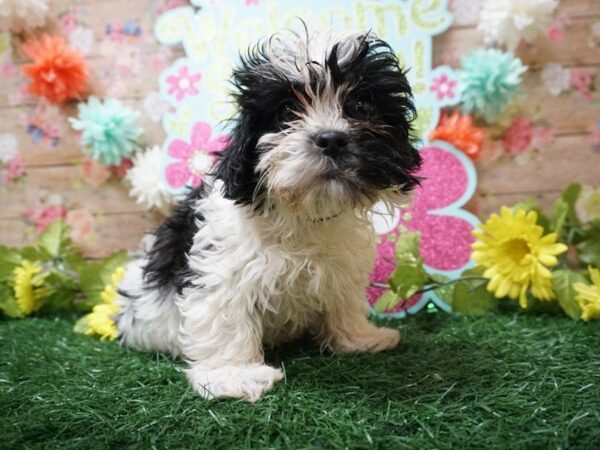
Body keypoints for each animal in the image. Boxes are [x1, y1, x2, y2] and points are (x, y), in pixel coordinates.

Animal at [115, 29, 420, 400]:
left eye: (361, 106)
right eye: (287, 110)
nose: (331, 139)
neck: (303, 212)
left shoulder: (340, 267)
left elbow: (343, 299)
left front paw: (358, 338)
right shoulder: (221, 265)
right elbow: (225, 314)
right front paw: (233, 375)